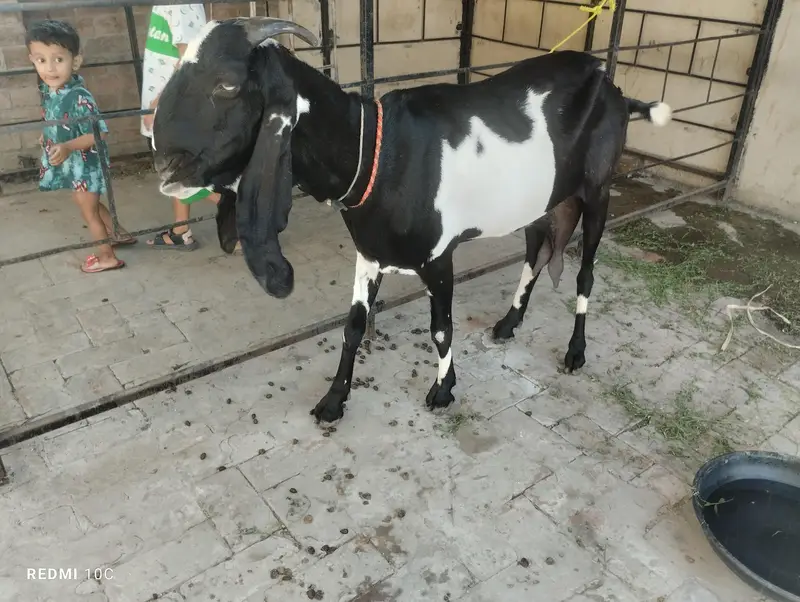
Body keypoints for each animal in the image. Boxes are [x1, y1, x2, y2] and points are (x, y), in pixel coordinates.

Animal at [151, 17, 672, 424]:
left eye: (226, 84)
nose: (164, 161)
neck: (378, 154)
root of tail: (615, 90)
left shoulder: (439, 256)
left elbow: (441, 328)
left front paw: (443, 390)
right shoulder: (369, 253)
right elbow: (353, 326)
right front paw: (333, 401)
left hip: (598, 191)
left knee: (585, 273)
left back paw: (575, 351)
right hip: (540, 201)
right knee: (536, 253)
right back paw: (508, 323)